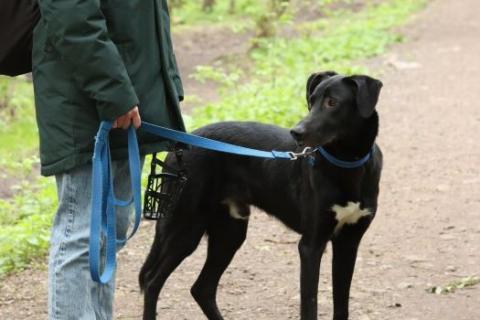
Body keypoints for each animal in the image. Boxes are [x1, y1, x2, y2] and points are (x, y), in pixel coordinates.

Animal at [138, 71, 382, 318]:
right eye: (311, 101)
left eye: (332, 102)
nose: (296, 132)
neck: (347, 164)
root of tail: (176, 149)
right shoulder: (310, 246)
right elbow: (309, 305)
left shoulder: (349, 243)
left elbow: (341, 307)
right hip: (185, 227)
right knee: (151, 281)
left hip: (230, 232)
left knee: (202, 288)